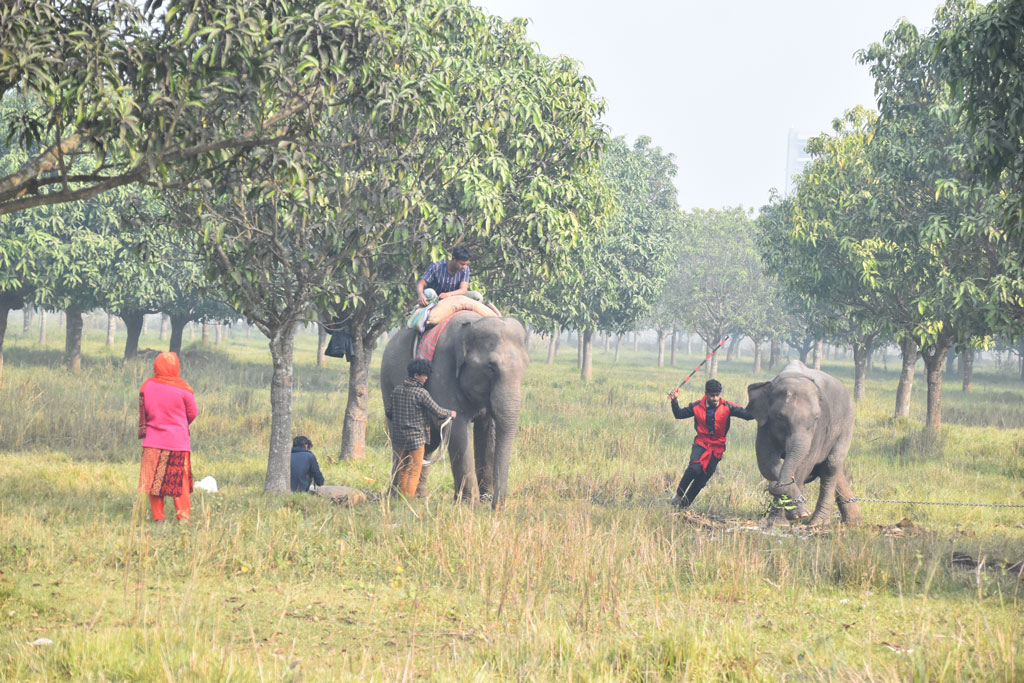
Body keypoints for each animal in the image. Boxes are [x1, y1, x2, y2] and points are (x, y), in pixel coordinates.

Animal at [380, 313, 532, 507]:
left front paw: (483, 499)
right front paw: (470, 504)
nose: (496, 508)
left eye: (525, 366)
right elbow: (458, 430)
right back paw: (396, 496)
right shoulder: (443, 370)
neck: (472, 323)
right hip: (388, 381)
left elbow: (489, 429)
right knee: (401, 442)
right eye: (491, 367)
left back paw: (418, 497)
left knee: (429, 443)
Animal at [749, 360, 860, 528]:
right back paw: (854, 520)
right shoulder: (764, 424)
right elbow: (766, 462)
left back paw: (818, 523)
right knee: (829, 466)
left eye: (816, 418)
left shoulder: (819, 429)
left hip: (847, 424)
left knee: (831, 465)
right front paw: (780, 521)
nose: (773, 485)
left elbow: (805, 464)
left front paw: (795, 516)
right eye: (780, 417)